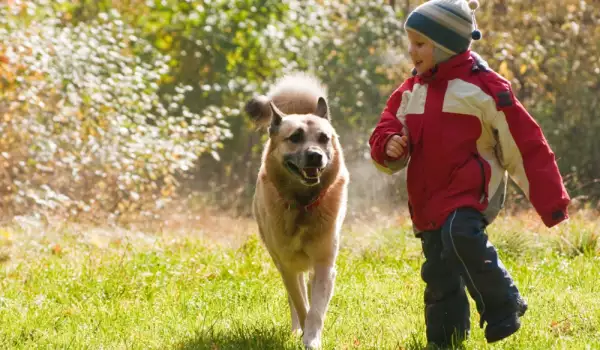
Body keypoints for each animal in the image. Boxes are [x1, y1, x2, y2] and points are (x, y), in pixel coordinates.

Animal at [243, 72, 346, 348]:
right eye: (295, 137)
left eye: (323, 138)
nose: (315, 156)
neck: (303, 204)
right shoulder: (287, 265)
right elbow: (301, 303)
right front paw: (302, 332)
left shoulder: (324, 264)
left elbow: (317, 310)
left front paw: (312, 339)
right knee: (296, 295)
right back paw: (295, 328)